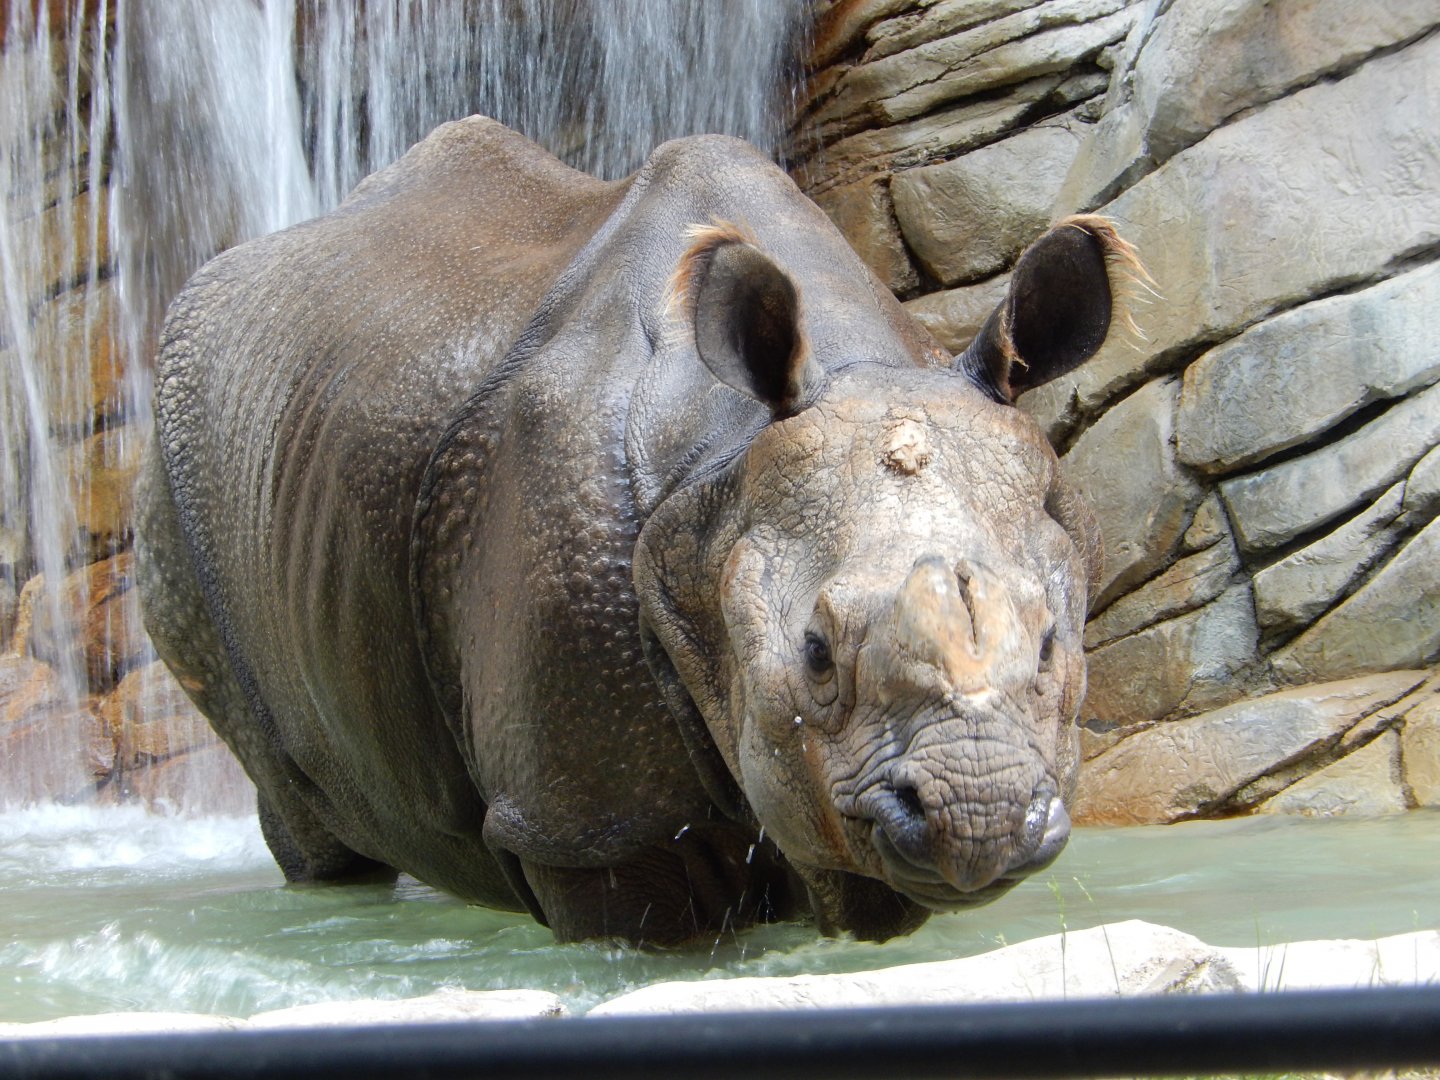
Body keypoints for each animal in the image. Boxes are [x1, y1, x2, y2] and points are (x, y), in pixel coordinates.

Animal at [139, 115, 1135, 945]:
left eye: (1055, 641)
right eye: (814, 652)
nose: (979, 816)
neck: (720, 470)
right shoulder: (581, 817)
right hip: (179, 488)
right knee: (297, 806)